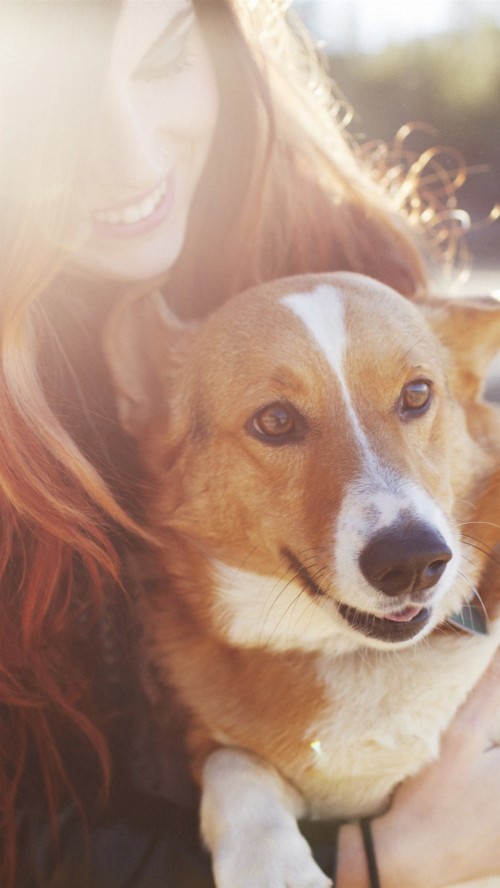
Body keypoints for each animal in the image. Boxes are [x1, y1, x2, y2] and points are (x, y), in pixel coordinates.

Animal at [106, 272, 500, 888]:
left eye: (417, 394)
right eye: (275, 420)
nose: (414, 560)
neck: (354, 654)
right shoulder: (211, 745)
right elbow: (236, 768)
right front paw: (270, 864)